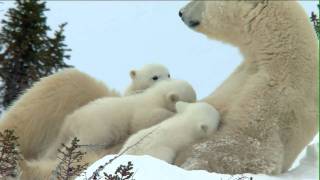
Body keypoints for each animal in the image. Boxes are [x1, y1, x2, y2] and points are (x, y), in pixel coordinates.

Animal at [44, 79, 195, 160]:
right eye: (191, 100)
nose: (192, 105)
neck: (156, 96)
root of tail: (71, 119)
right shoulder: (143, 109)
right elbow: (143, 120)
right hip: (96, 128)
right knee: (85, 143)